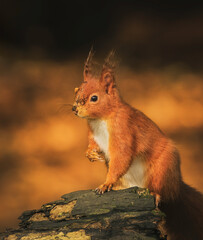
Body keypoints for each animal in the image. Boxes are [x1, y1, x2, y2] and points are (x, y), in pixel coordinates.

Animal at [72, 49, 202, 239]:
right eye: (76, 90)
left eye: (94, 98)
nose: (74, 109)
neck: (101, 119)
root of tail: (177, 186)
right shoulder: (93, 134)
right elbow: (93, 145)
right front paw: (90, 154)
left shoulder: (124, 130)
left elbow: (122, 157)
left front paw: (105, 183)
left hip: (161, 170)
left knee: (162, 191)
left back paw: (155, 194)